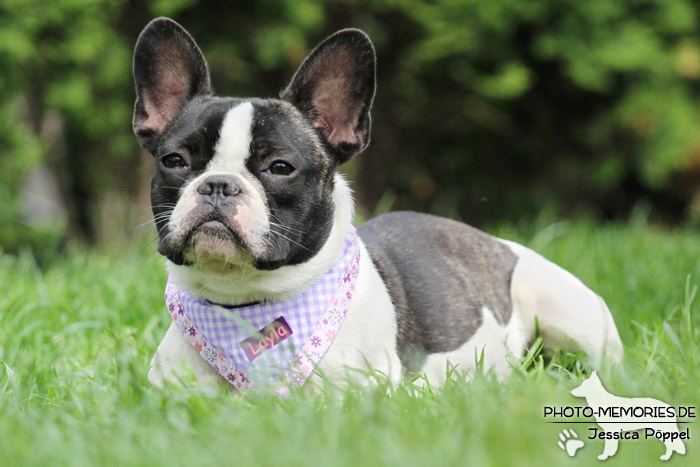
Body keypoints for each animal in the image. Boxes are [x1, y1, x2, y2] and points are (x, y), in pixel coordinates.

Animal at [133, 16, 624, 394]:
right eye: (174, 161)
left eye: (279, 167)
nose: (218, 185)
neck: (242, 303)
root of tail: (498, 244)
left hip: (574, 322)